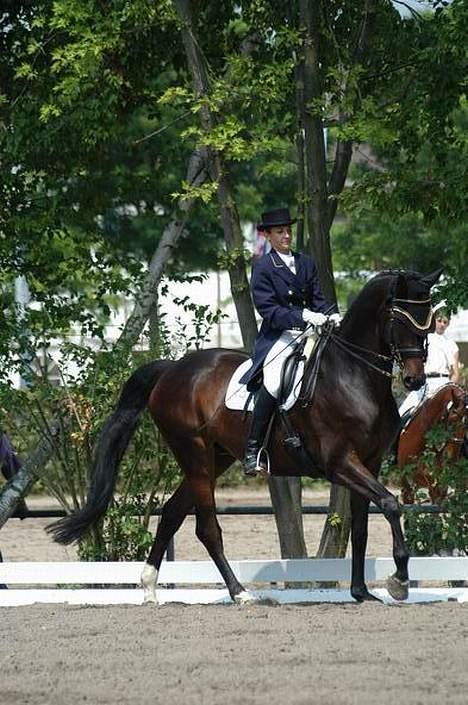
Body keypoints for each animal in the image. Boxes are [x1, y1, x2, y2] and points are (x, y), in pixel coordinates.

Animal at [49, 268, 444, 600]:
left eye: (427, 322)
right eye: (399, 319)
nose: (415, 380)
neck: (354, 376)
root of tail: (172, 368)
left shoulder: (369, 462)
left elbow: (362, 526)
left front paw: (362, 592)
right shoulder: (340, 462)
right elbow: (391, 504)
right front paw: (399, 581)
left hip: (216, 457)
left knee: (173, 512)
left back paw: (149, 588)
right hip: (194, 453)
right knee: (206, 528)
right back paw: (239, 593)